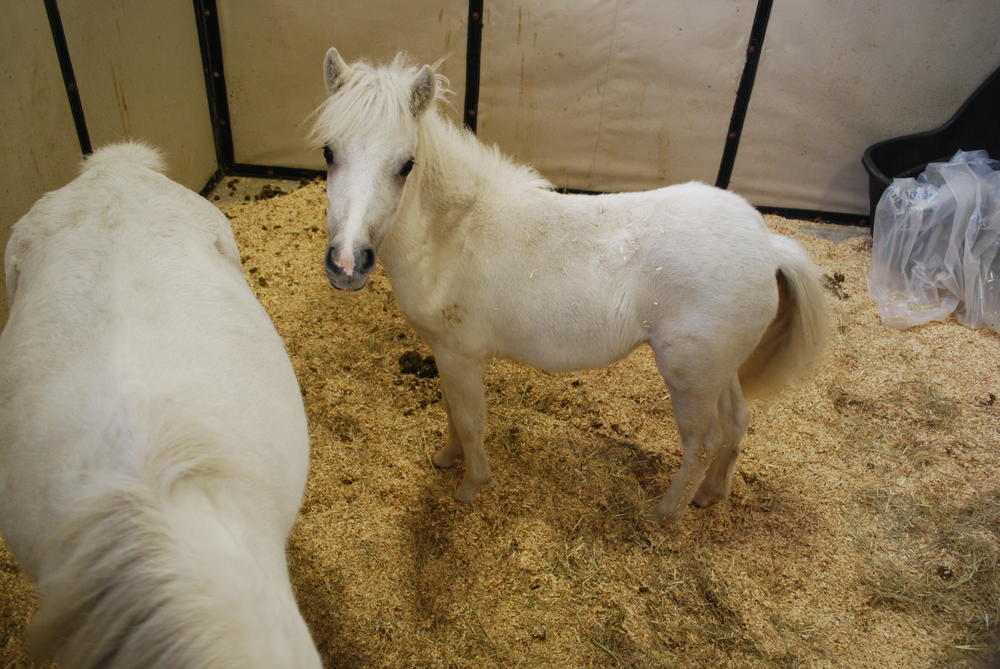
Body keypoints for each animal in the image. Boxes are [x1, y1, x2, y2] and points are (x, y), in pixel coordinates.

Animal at [310, 49, 828, 524]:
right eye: (329, 152)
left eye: (406, 164)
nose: (347, 263)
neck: (454, 230)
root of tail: (768, 246)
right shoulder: (443, 353)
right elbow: (453, 413)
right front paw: (446, 458)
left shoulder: (461, 355)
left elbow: (472, 421)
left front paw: (471, 485)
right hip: (719, 371)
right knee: (737, 422)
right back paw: (710, 495)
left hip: (691, 379)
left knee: (702, 442)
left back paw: (663, 514)